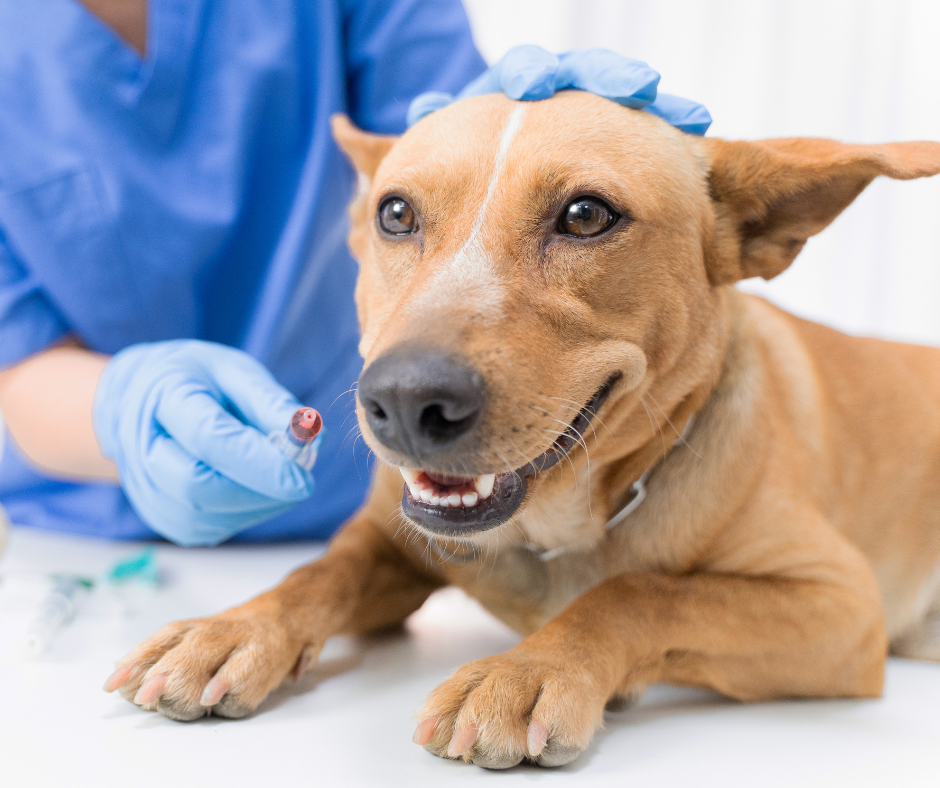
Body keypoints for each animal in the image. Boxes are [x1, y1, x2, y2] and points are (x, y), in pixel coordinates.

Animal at [103, 89, 940, 768]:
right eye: (395, 214)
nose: (405, 402)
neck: (561, 525)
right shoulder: (389, 540)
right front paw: (234, 629)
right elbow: (318, 571)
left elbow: (640, 591)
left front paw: (530, 672)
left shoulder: (841, 607)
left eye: (586, 215)